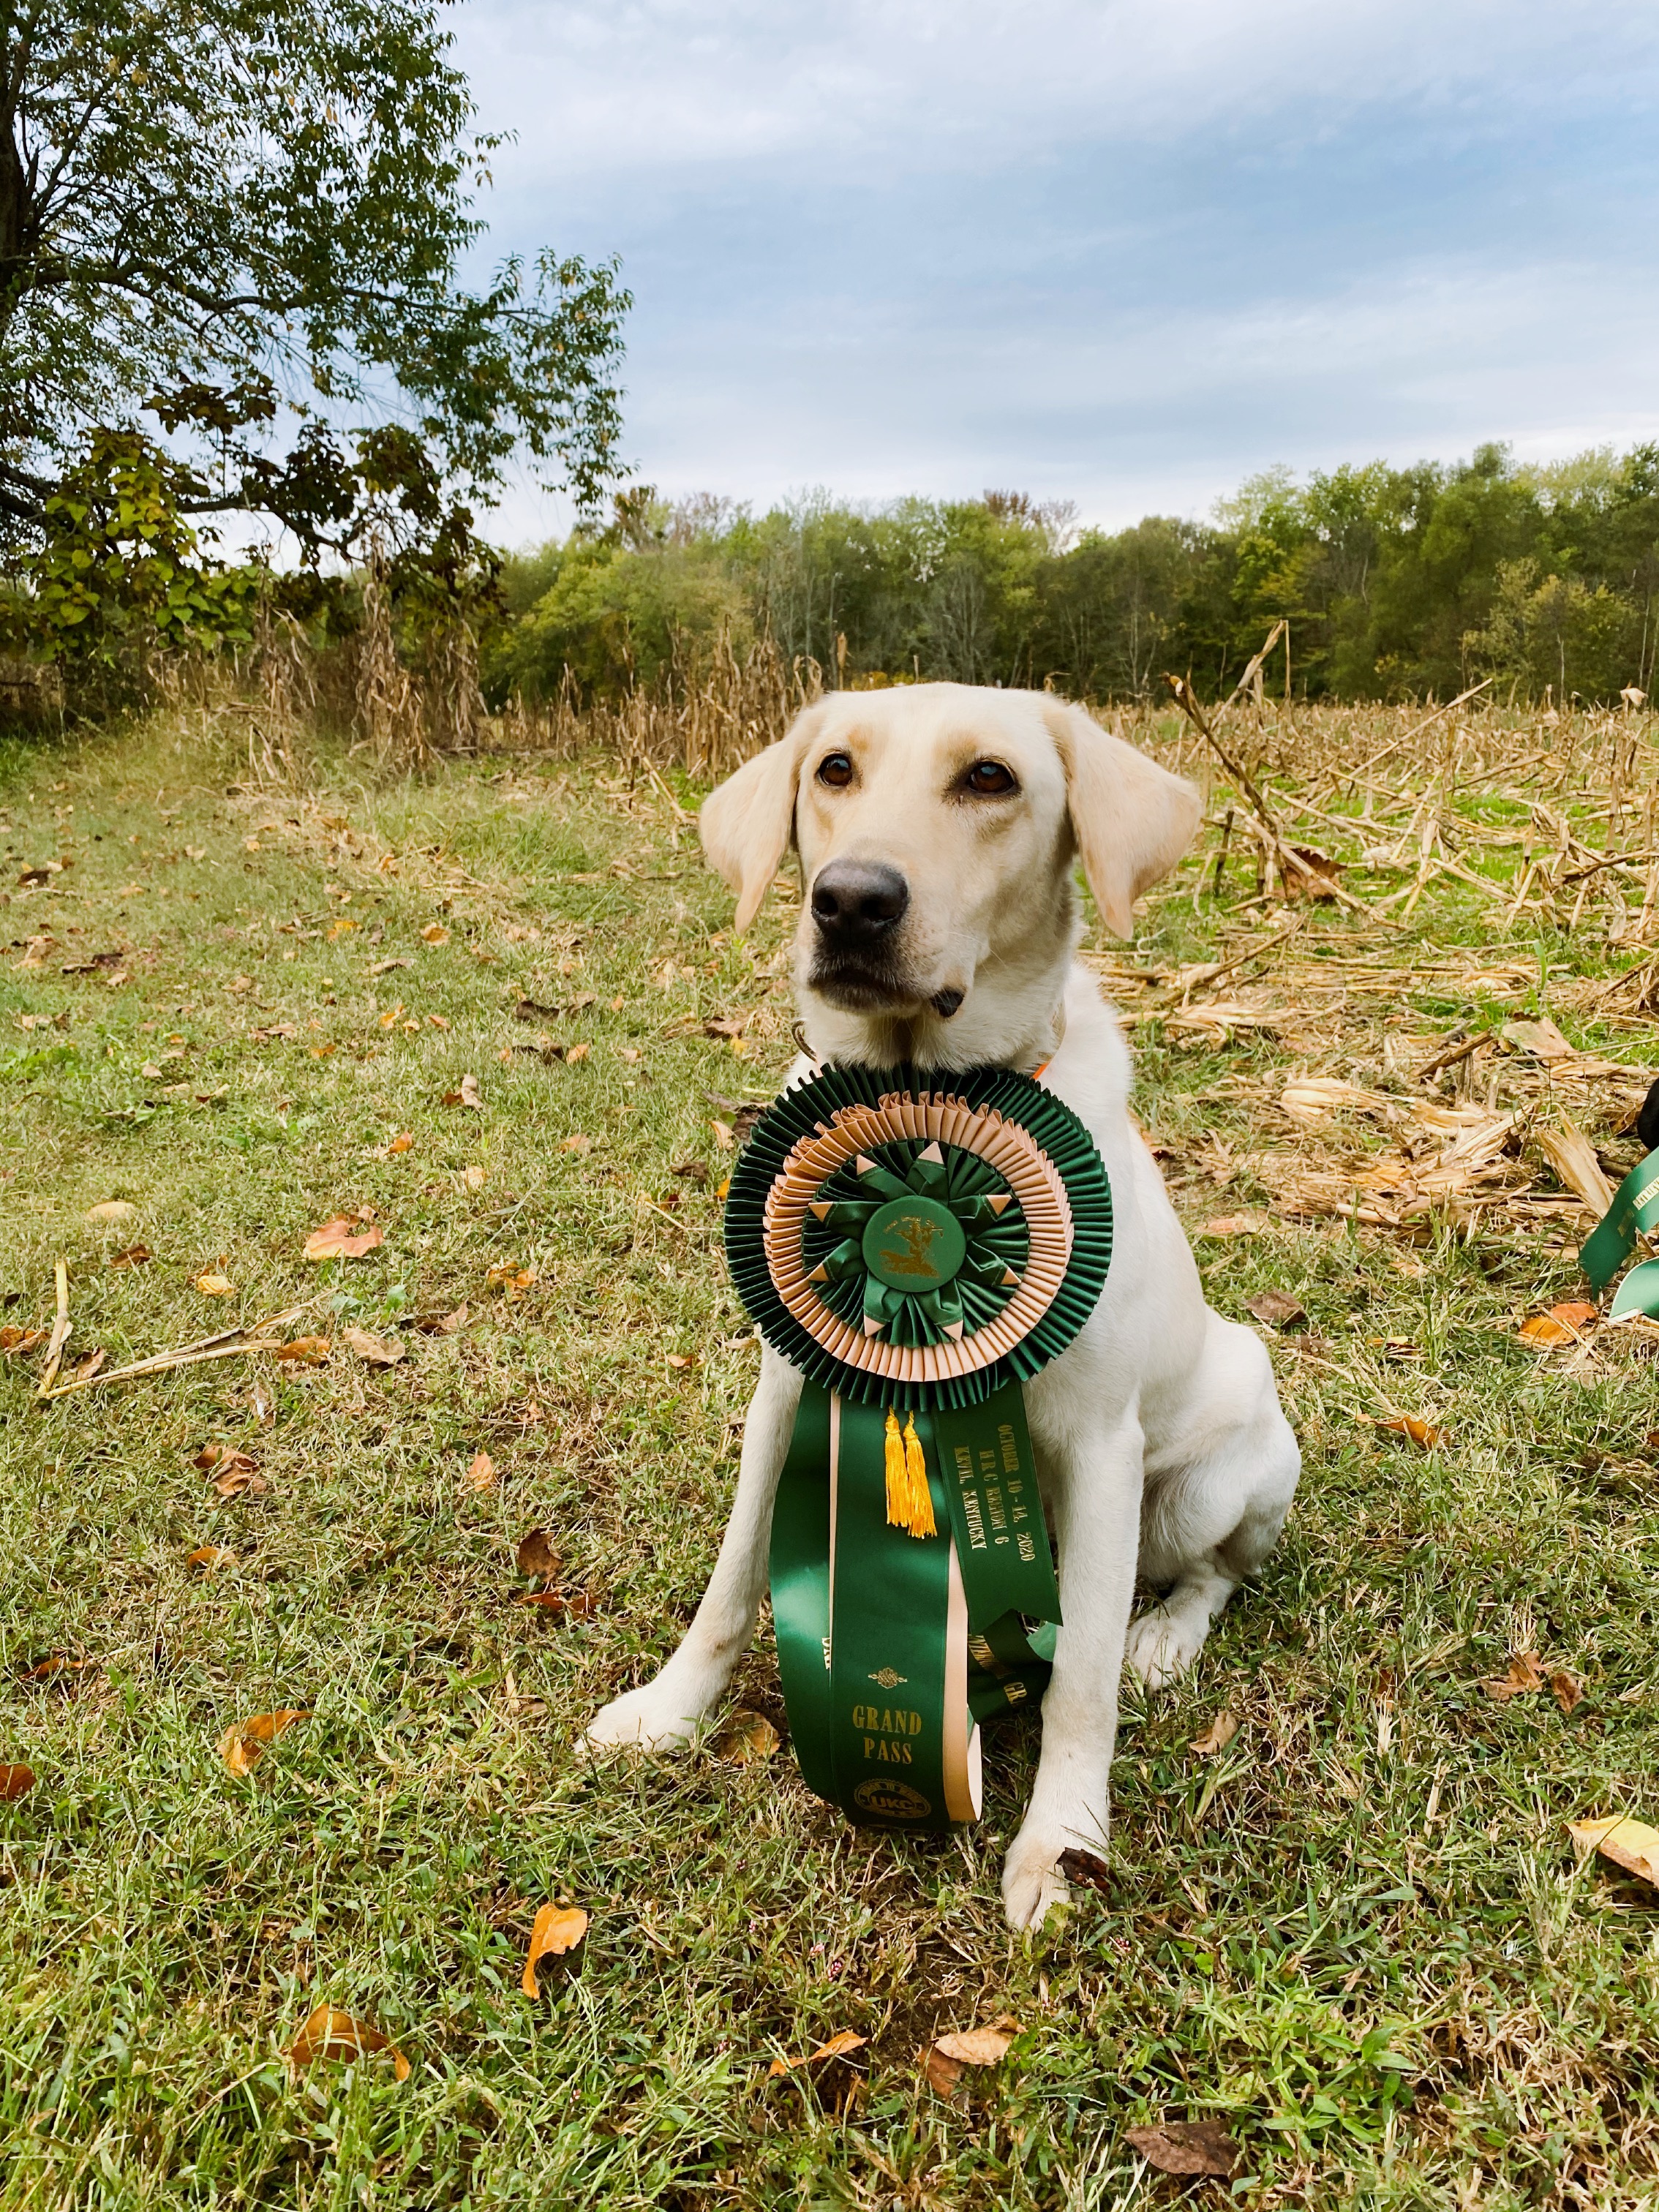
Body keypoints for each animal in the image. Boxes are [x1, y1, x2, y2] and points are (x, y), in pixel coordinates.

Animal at [592, 681, 1309, 1928]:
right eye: (833, 770)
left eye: (990, 779)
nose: (851, 901)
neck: (921, 1113)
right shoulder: (786, 1396)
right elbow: (731, 1583)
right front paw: (672, 1710)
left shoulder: (1099, 1447)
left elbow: (1079, 1682)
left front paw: (1062, 1843)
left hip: (1212, 1479)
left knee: (1211, 1578)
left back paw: (1165, 1641)